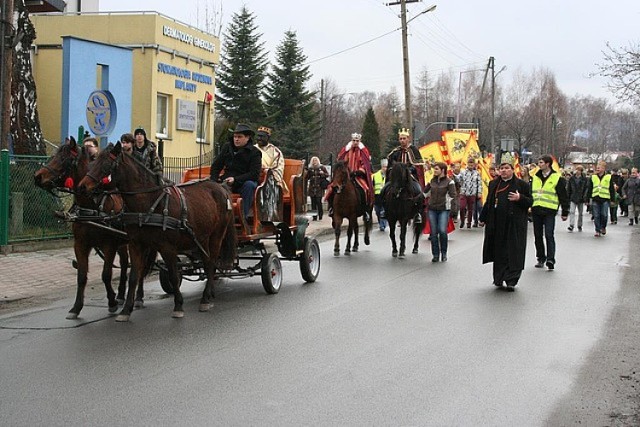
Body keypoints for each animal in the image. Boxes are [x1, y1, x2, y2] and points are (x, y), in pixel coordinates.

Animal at [33, 137, 135, 318]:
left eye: (64, 159)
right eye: (54, 155)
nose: (38, 176)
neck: (91, 207)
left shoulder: (109, 245)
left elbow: (106, 275)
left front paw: (111, 302)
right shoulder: (80, 244)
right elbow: (81, 276)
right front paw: (76, 307)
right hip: (122, 243)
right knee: (124, 264)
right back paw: (122, 295)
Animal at [78, 142, 238, 322]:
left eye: (105, 165)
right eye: (92, 162)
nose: (82, 187)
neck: (150, 202)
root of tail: (221, 186)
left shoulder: (168, 247)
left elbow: (174, 276)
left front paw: (178, 306)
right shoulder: (136, 245)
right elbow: (134, 276)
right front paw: (126, 310)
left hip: (216, 236)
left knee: (211, 263)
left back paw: (205, 299)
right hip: (201, 237)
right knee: (207, 261)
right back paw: (209, 293)